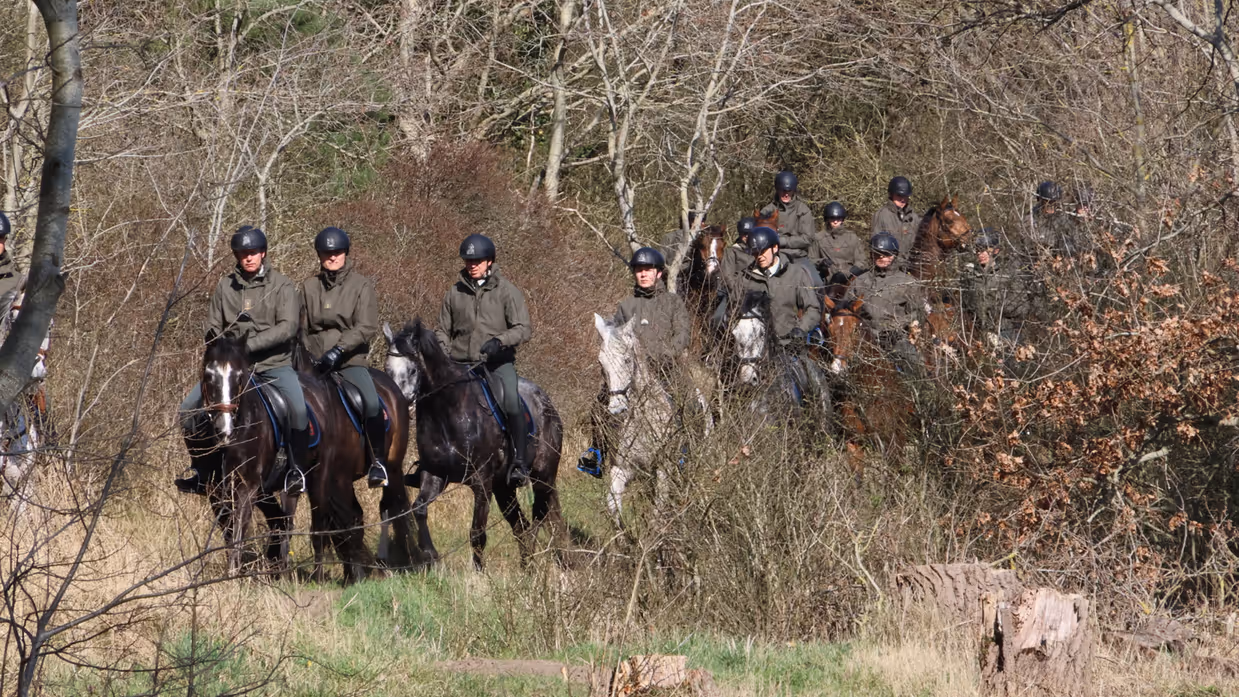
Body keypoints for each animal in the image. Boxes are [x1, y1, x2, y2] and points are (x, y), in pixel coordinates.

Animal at [382, 320, 568, 570]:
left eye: (412, 370)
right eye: (387, 369)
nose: (398, 406)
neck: (446, 411)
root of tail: (546, 401)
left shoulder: (481, 482)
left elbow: (477, 533)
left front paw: (480, 573)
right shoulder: (435, 474)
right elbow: (419, 509)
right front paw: (430, 553)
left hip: (542, 477)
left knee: (540, 516)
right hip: (503, 488)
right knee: (522, 525)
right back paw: (527, 567)